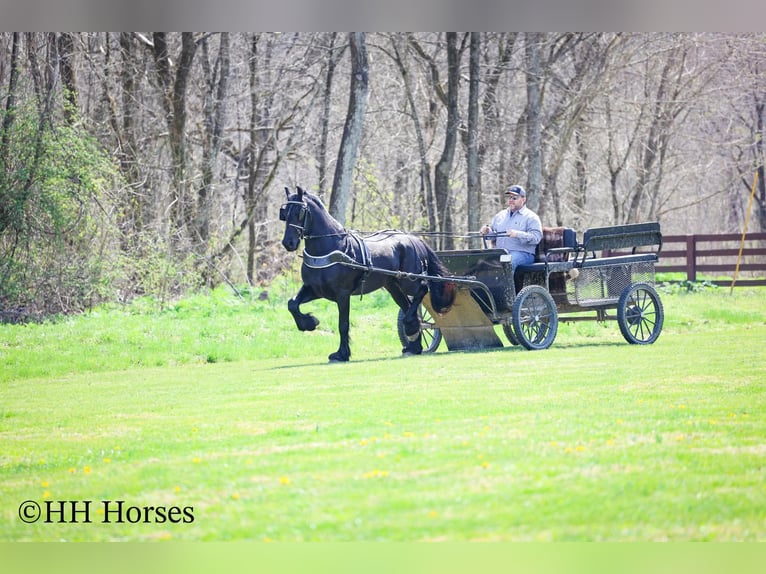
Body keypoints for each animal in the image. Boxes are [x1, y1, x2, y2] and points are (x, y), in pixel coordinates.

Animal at [279, 186, 456, 362]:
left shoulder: (342, 294)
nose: (288, 243)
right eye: (284, 213)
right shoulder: (315, 289)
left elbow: (343, 324)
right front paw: (309, 323)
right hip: (393, 286)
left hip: (409, 282)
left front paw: (341, 354)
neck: (330, 248)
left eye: (300, 212)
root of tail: (414, 239)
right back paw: (414, 343)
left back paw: (411, 329)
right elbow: (292, 304)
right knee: (408, 307)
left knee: (423, 289)